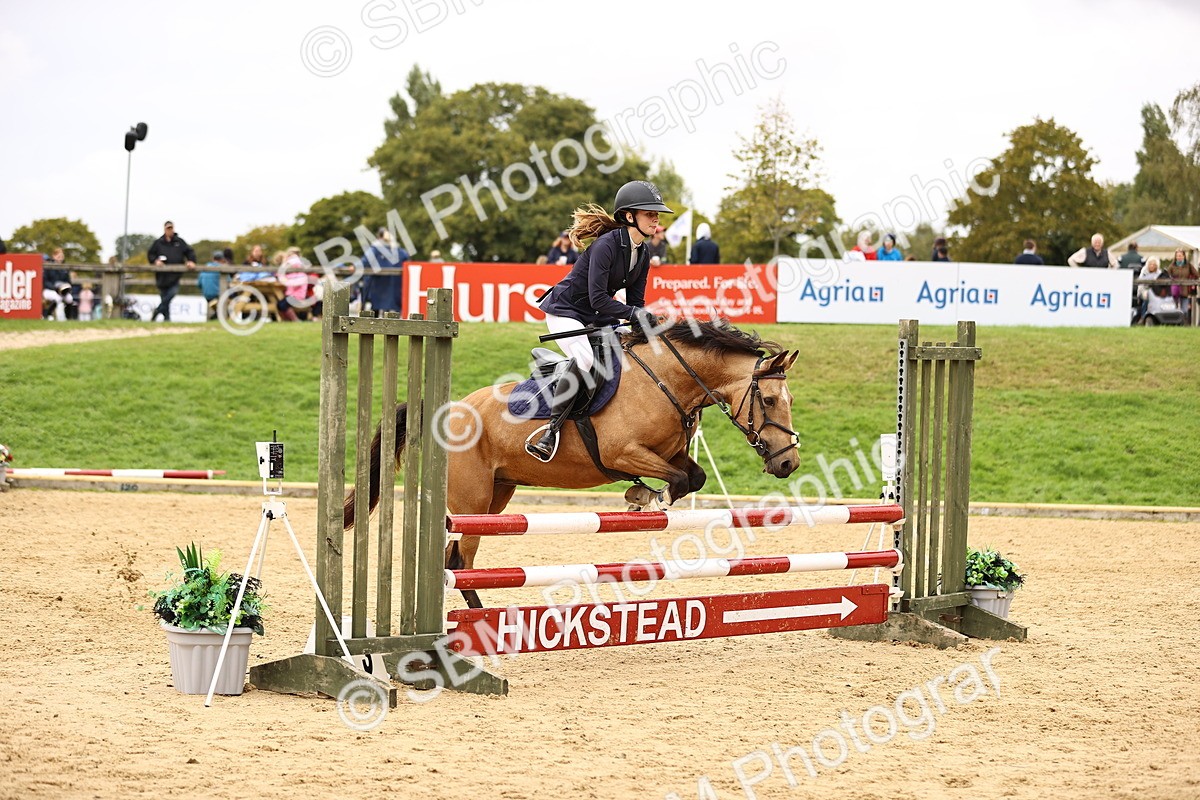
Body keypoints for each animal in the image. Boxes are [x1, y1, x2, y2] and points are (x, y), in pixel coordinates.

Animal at [345, 319, 802, 609]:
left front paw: (643, 495)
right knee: (457, 560)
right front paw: (649, 497)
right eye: (768, 400)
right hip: (471, 502)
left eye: (790, 399)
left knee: (456, 558)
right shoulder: (621, 451)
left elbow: (694, 475)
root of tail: (446, 410)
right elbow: (676, 479)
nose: (788, 464)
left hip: (497, 496)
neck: (667, 380)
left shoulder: (671, 452)